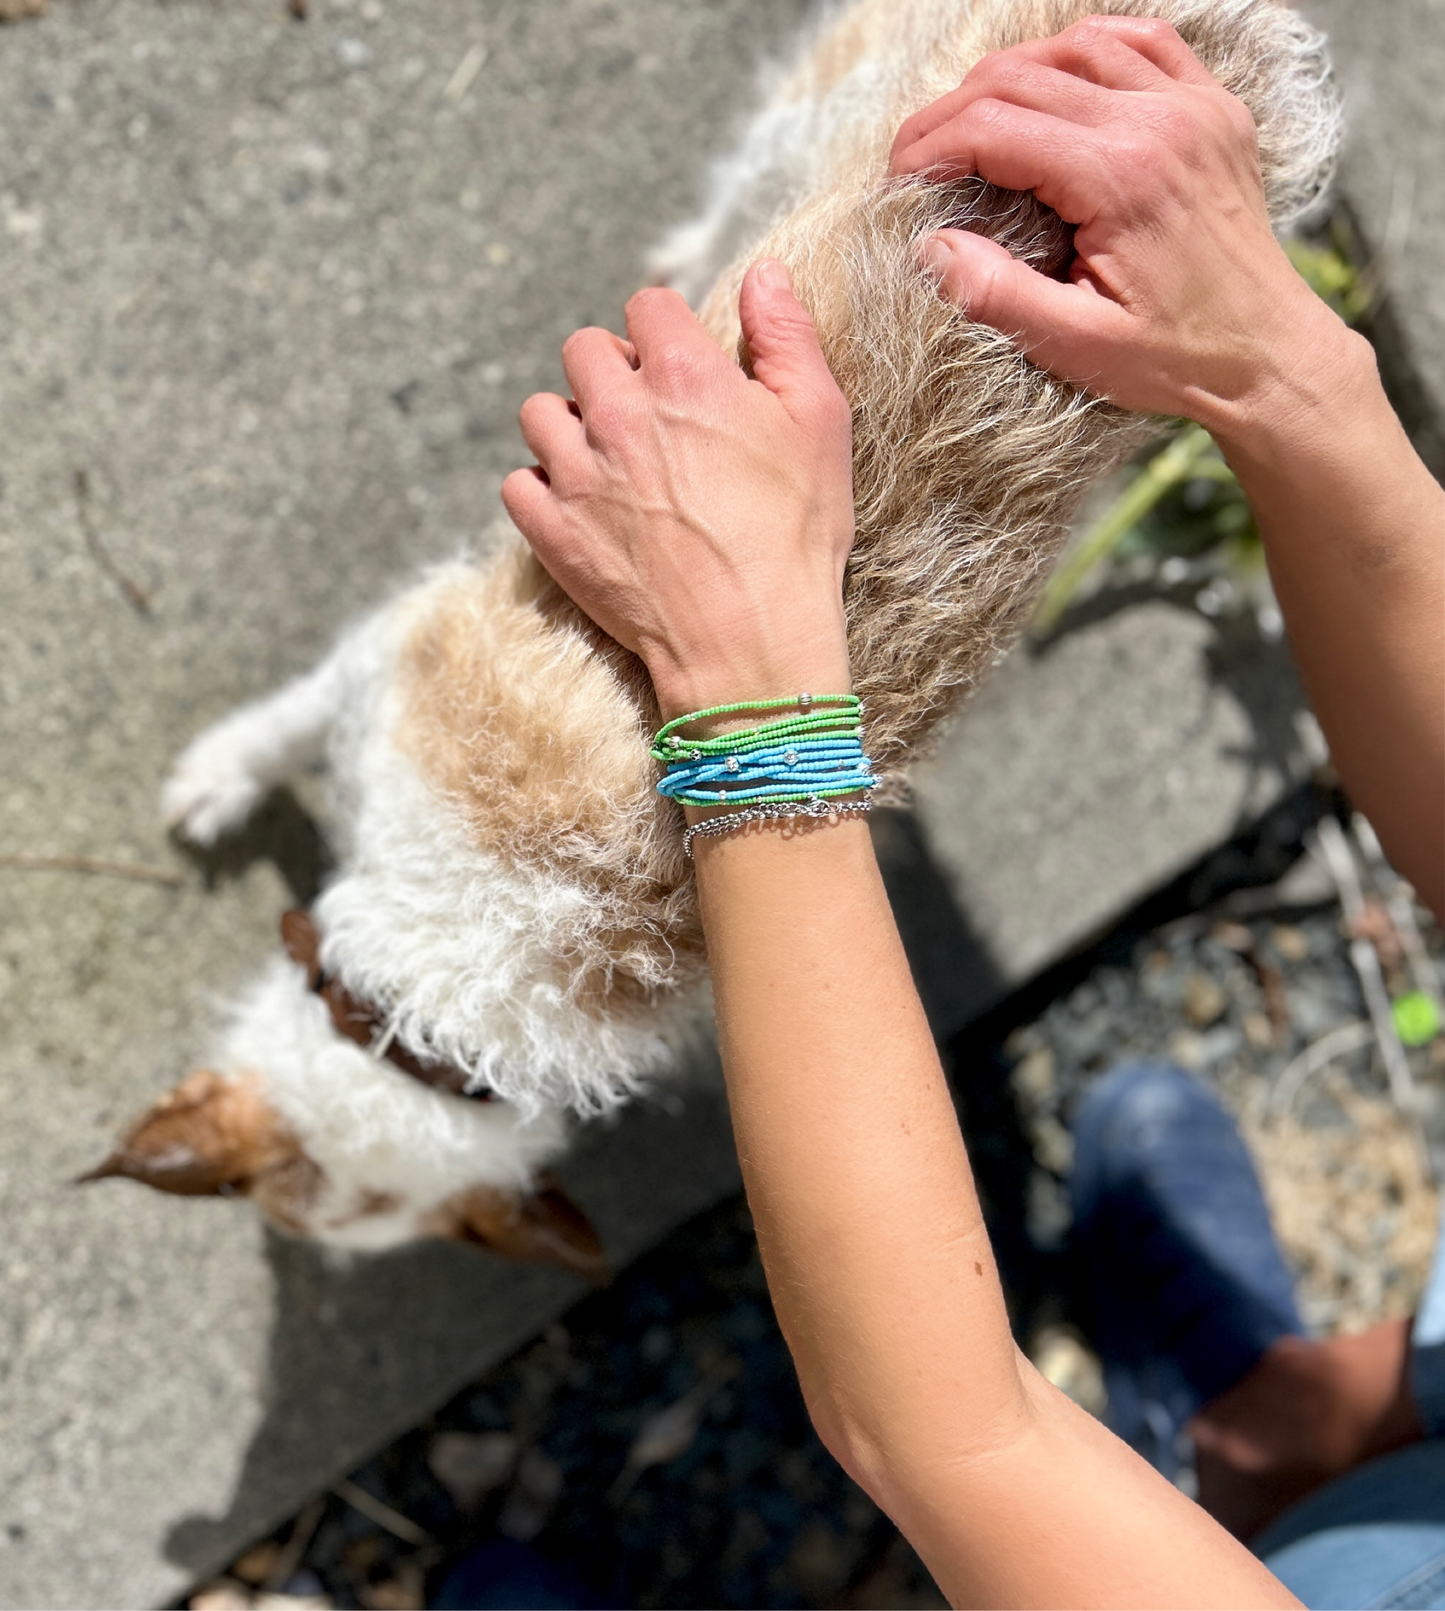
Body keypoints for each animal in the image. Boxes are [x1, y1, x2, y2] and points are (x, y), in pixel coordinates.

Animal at [84, 0, 1333, 1275]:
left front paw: (219, 777)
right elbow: (284, 724)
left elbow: (291, 718)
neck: (475, 960)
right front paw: (221, 779)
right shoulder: (391, 663)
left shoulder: (395, 672)